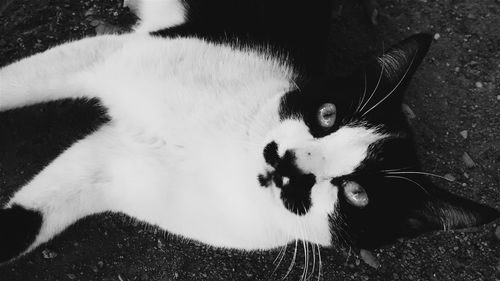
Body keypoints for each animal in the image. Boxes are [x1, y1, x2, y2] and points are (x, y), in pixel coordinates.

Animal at [0, 0, 498, 270]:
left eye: (357, 194)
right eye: (327, 115)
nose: (289, 162)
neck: (223, 155)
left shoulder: (104, 166)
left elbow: (24, 221)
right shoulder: (111, 57)